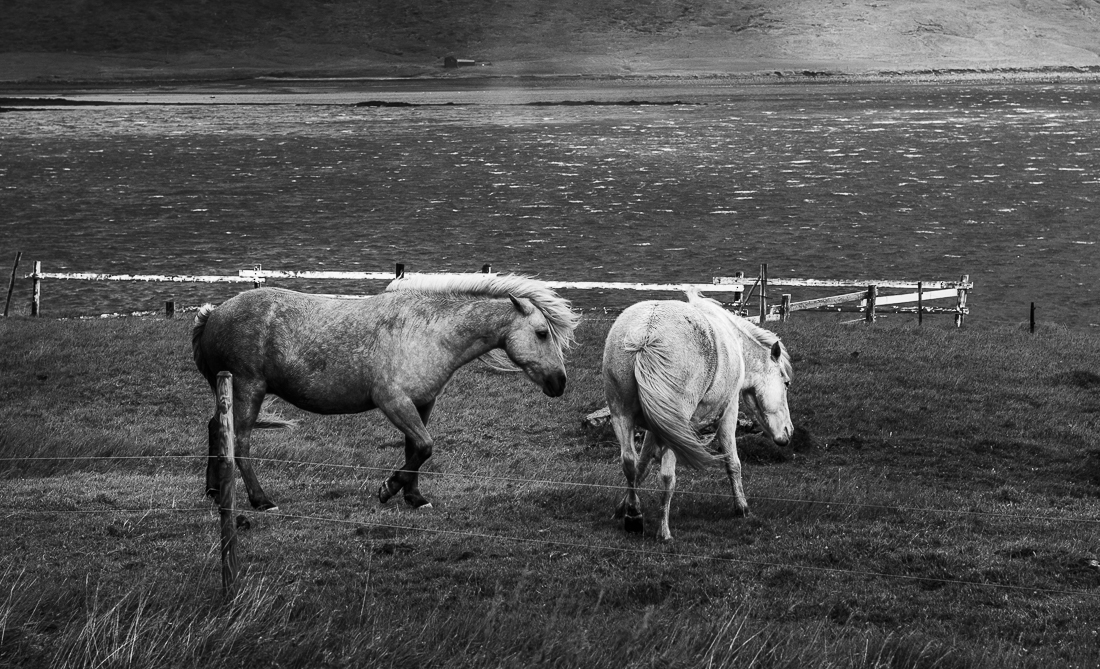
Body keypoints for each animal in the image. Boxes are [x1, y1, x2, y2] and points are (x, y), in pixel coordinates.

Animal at [192, 273, 580, 511]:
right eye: (542, 333)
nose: (560, 382)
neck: (428, 331)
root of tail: (214, 314)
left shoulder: (422, 403)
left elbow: (416, 450)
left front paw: (415, 496)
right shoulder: (393, 402)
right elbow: (424, 446)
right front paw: (388, 488)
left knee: (215, 428)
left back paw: (213, 491)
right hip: (249, 390)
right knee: (239, 441)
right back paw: (261, 500)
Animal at [602, 290, 793, 541]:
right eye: (786, 383)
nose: (789, 431)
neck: (736, 344)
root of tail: (646, 334)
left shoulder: (654, 427)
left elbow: (642, 465)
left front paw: (623, 507)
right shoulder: (729, 410)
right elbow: (733, 462)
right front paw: (742, 507)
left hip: (622, 415)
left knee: (629, 461)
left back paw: (634, 516)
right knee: (667, 475)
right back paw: (663, 531)